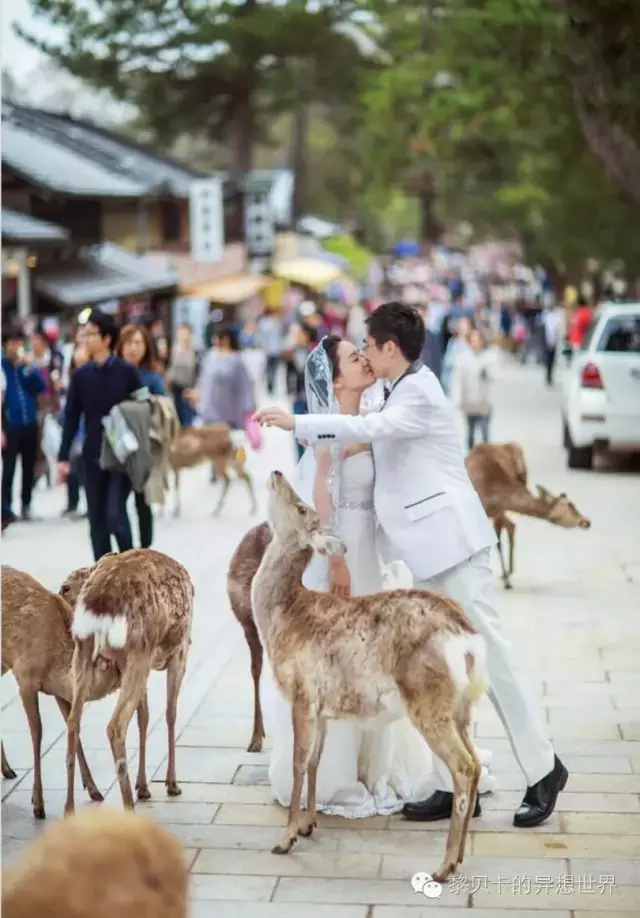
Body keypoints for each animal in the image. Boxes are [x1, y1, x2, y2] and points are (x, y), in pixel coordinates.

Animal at [0, 568, 120, 820]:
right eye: (66, 587)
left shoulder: (61, 692)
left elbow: (72, 728)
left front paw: (94, 789)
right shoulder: (24, 676)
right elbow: (37, 733)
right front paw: (38, 804)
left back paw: (6, 769)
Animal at [65, 548, 195, 816]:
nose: (63, 589)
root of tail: (99, 605)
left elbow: (143, 716)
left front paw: (143, 786)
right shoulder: (180, 651)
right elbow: (170, 713)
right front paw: (172, 784)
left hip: (83, 653)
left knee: (73, 720)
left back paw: (69, 809)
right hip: (138, 652)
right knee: (115, 726)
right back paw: (129, 809)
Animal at [252, 474, 488, 884]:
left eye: (301, 508)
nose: (277, 474)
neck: (283, 617)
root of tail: (468, 640)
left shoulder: (302, 692)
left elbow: (298, 762)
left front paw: (285, 839)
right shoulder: (323, 706)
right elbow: (315, 762)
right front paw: (309, 825)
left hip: (428, 700)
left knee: (464, 766)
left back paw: (443, 866)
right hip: (461, 707)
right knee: (474, 760)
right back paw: (457, 857)